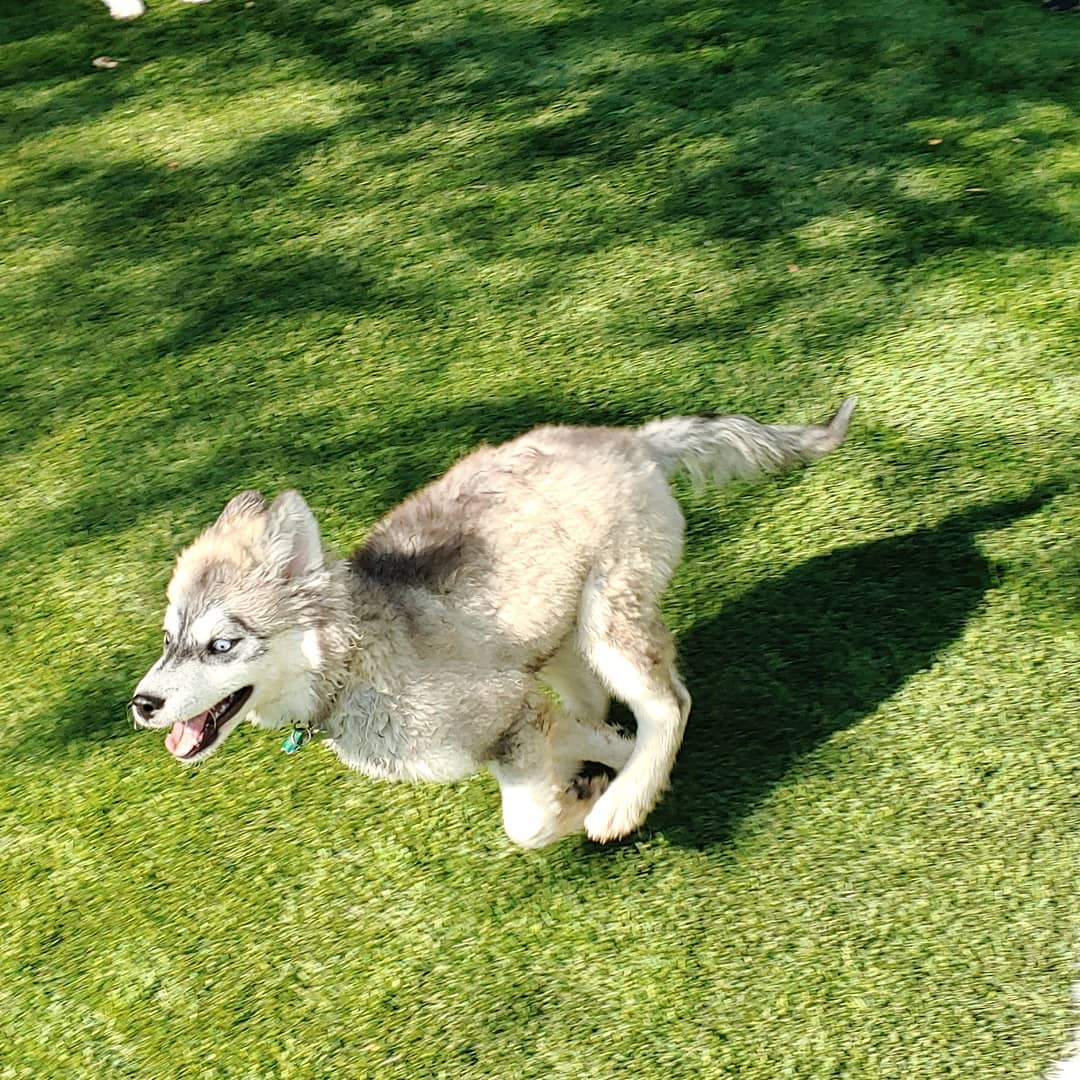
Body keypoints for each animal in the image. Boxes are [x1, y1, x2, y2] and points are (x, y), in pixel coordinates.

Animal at [132, 397, 859, 842]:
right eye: (169, 639)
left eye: (221, 644)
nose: (141, 704)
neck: (358, 665)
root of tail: (631, 440)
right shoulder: (518, 714)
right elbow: (584, 739)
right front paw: (596, 775)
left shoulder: (510, 711)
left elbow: (528, 823)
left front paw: (594, 804)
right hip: (554, 630)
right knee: (602, 700)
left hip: (608, 613)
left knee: (668, 702)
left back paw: (625, 803)